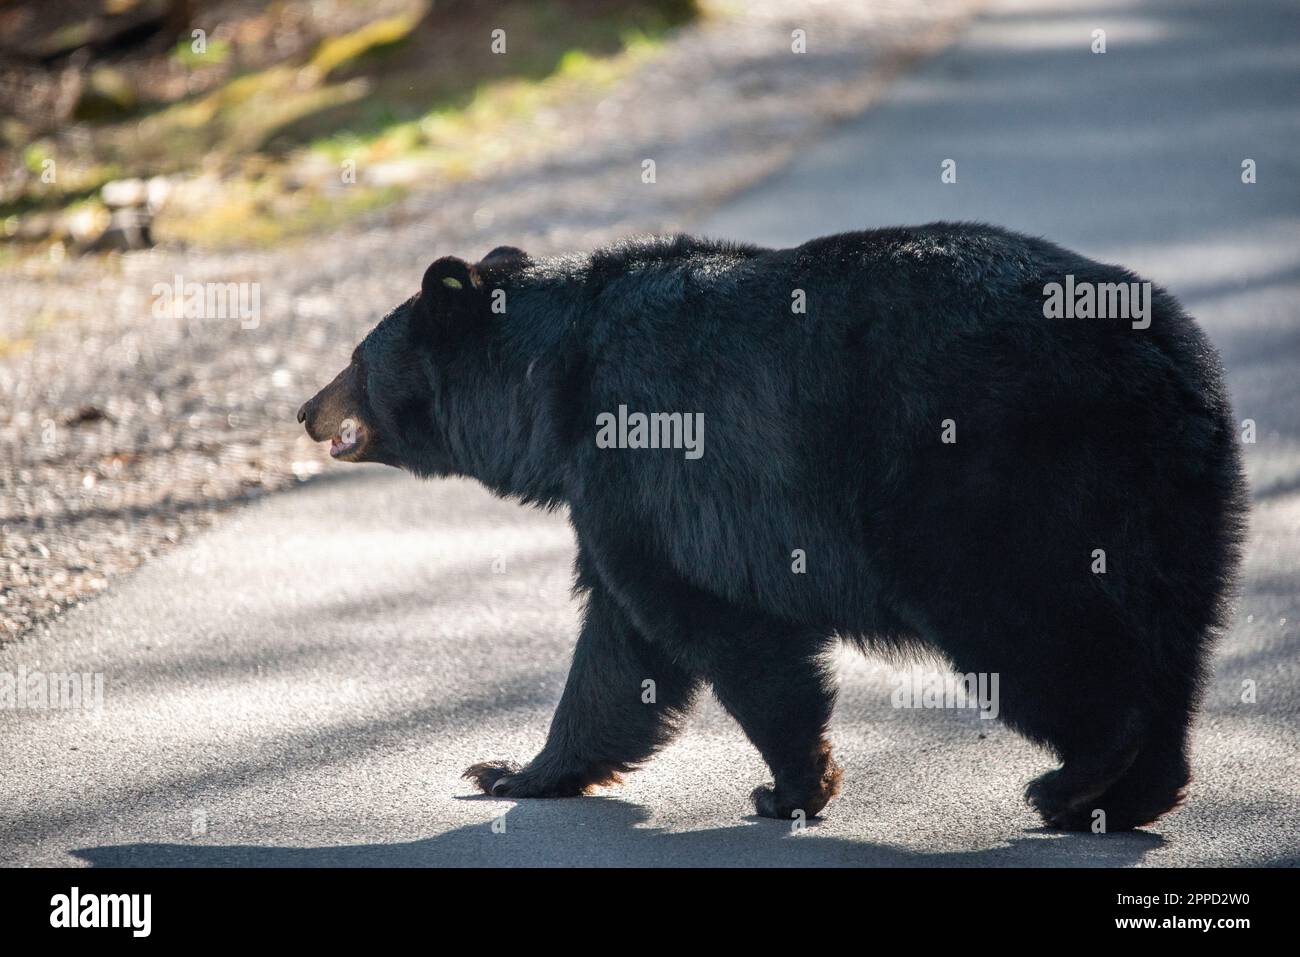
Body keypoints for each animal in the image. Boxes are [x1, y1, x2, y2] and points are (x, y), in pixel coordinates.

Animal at [299, 226, 1242, 832]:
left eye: (353, 358)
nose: (306, 408)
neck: (554, 385)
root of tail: (1163, 352)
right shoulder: (612, 494)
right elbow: (620, 649)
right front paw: (511, 770)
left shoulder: (642, 469)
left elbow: (706, 627)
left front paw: (791, 786)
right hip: (1172, 499)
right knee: (1169, 636)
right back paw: (1127, 793)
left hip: (987, 484)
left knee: (1029, 625)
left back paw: (1072, 779)